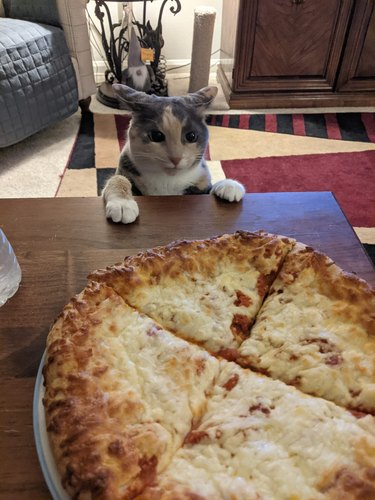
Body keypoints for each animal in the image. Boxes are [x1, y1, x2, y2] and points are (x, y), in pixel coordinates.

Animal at [103, 83, 245, 224]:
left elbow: (209, 189)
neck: (168, 181)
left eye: (191, 136)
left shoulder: (200, 185)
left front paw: (229, 185)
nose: (176, 158)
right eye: (156, 135)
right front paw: (122, 204)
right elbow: (118, 178)